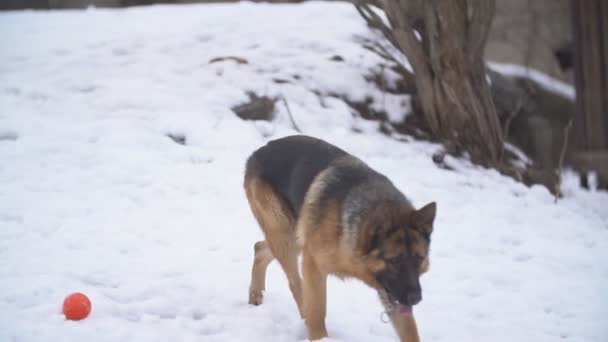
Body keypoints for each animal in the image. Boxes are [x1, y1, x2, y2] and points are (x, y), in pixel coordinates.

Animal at [243, 135, 436, 340]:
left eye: (419, 259)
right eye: (394, 260)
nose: (416, 298)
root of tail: (260, 150)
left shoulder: (392, 292)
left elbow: (409, 331)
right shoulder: (314, 267)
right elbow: (317, 312)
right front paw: (320, 338)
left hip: (294, 236)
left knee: (259, 248)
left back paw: (255, 295)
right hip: (286, 236)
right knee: (295, 285)